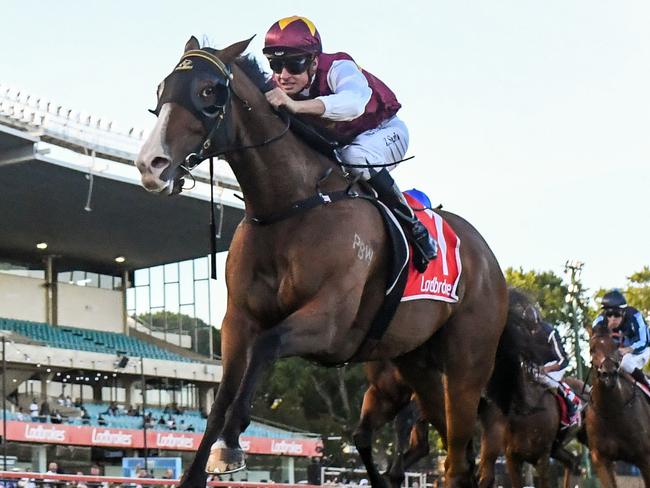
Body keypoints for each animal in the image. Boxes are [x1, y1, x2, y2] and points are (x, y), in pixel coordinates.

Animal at [137, 38, 508, 488]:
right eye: (162, 89)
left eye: (209, 91)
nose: (150, 164)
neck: (290, 205)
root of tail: (488, 258)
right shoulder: (238, 319)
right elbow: (221, 397)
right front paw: (207, 459)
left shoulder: (330, 324)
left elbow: (267, 345)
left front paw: (232, 443)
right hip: (416, 365)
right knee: (456, 455)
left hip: (467, 367)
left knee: (457, 455)